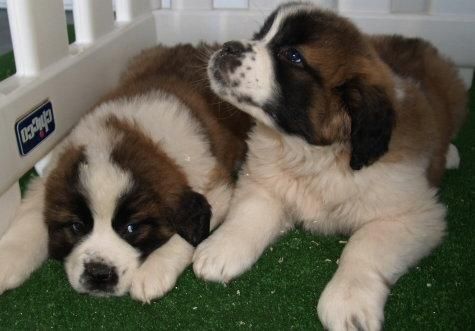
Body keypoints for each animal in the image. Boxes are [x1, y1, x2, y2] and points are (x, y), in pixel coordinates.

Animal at [0, 44, 253, 304]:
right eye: (76, 227)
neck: (130, 132)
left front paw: (153, 270)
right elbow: (31, 216)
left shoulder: (216, 186)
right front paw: (8, 256)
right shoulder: (52, 173)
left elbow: (185, 235)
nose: (99, 273)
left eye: (132, 228)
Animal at [193, 1, 468, 330]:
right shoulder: (264, 182)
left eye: (293, 56)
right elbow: (248, 214)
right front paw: (220, 249)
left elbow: (365, 244)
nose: (228, 46)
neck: (313, 154)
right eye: (260, 35)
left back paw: (451, 154)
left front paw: (348, 302)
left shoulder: (413, 215)